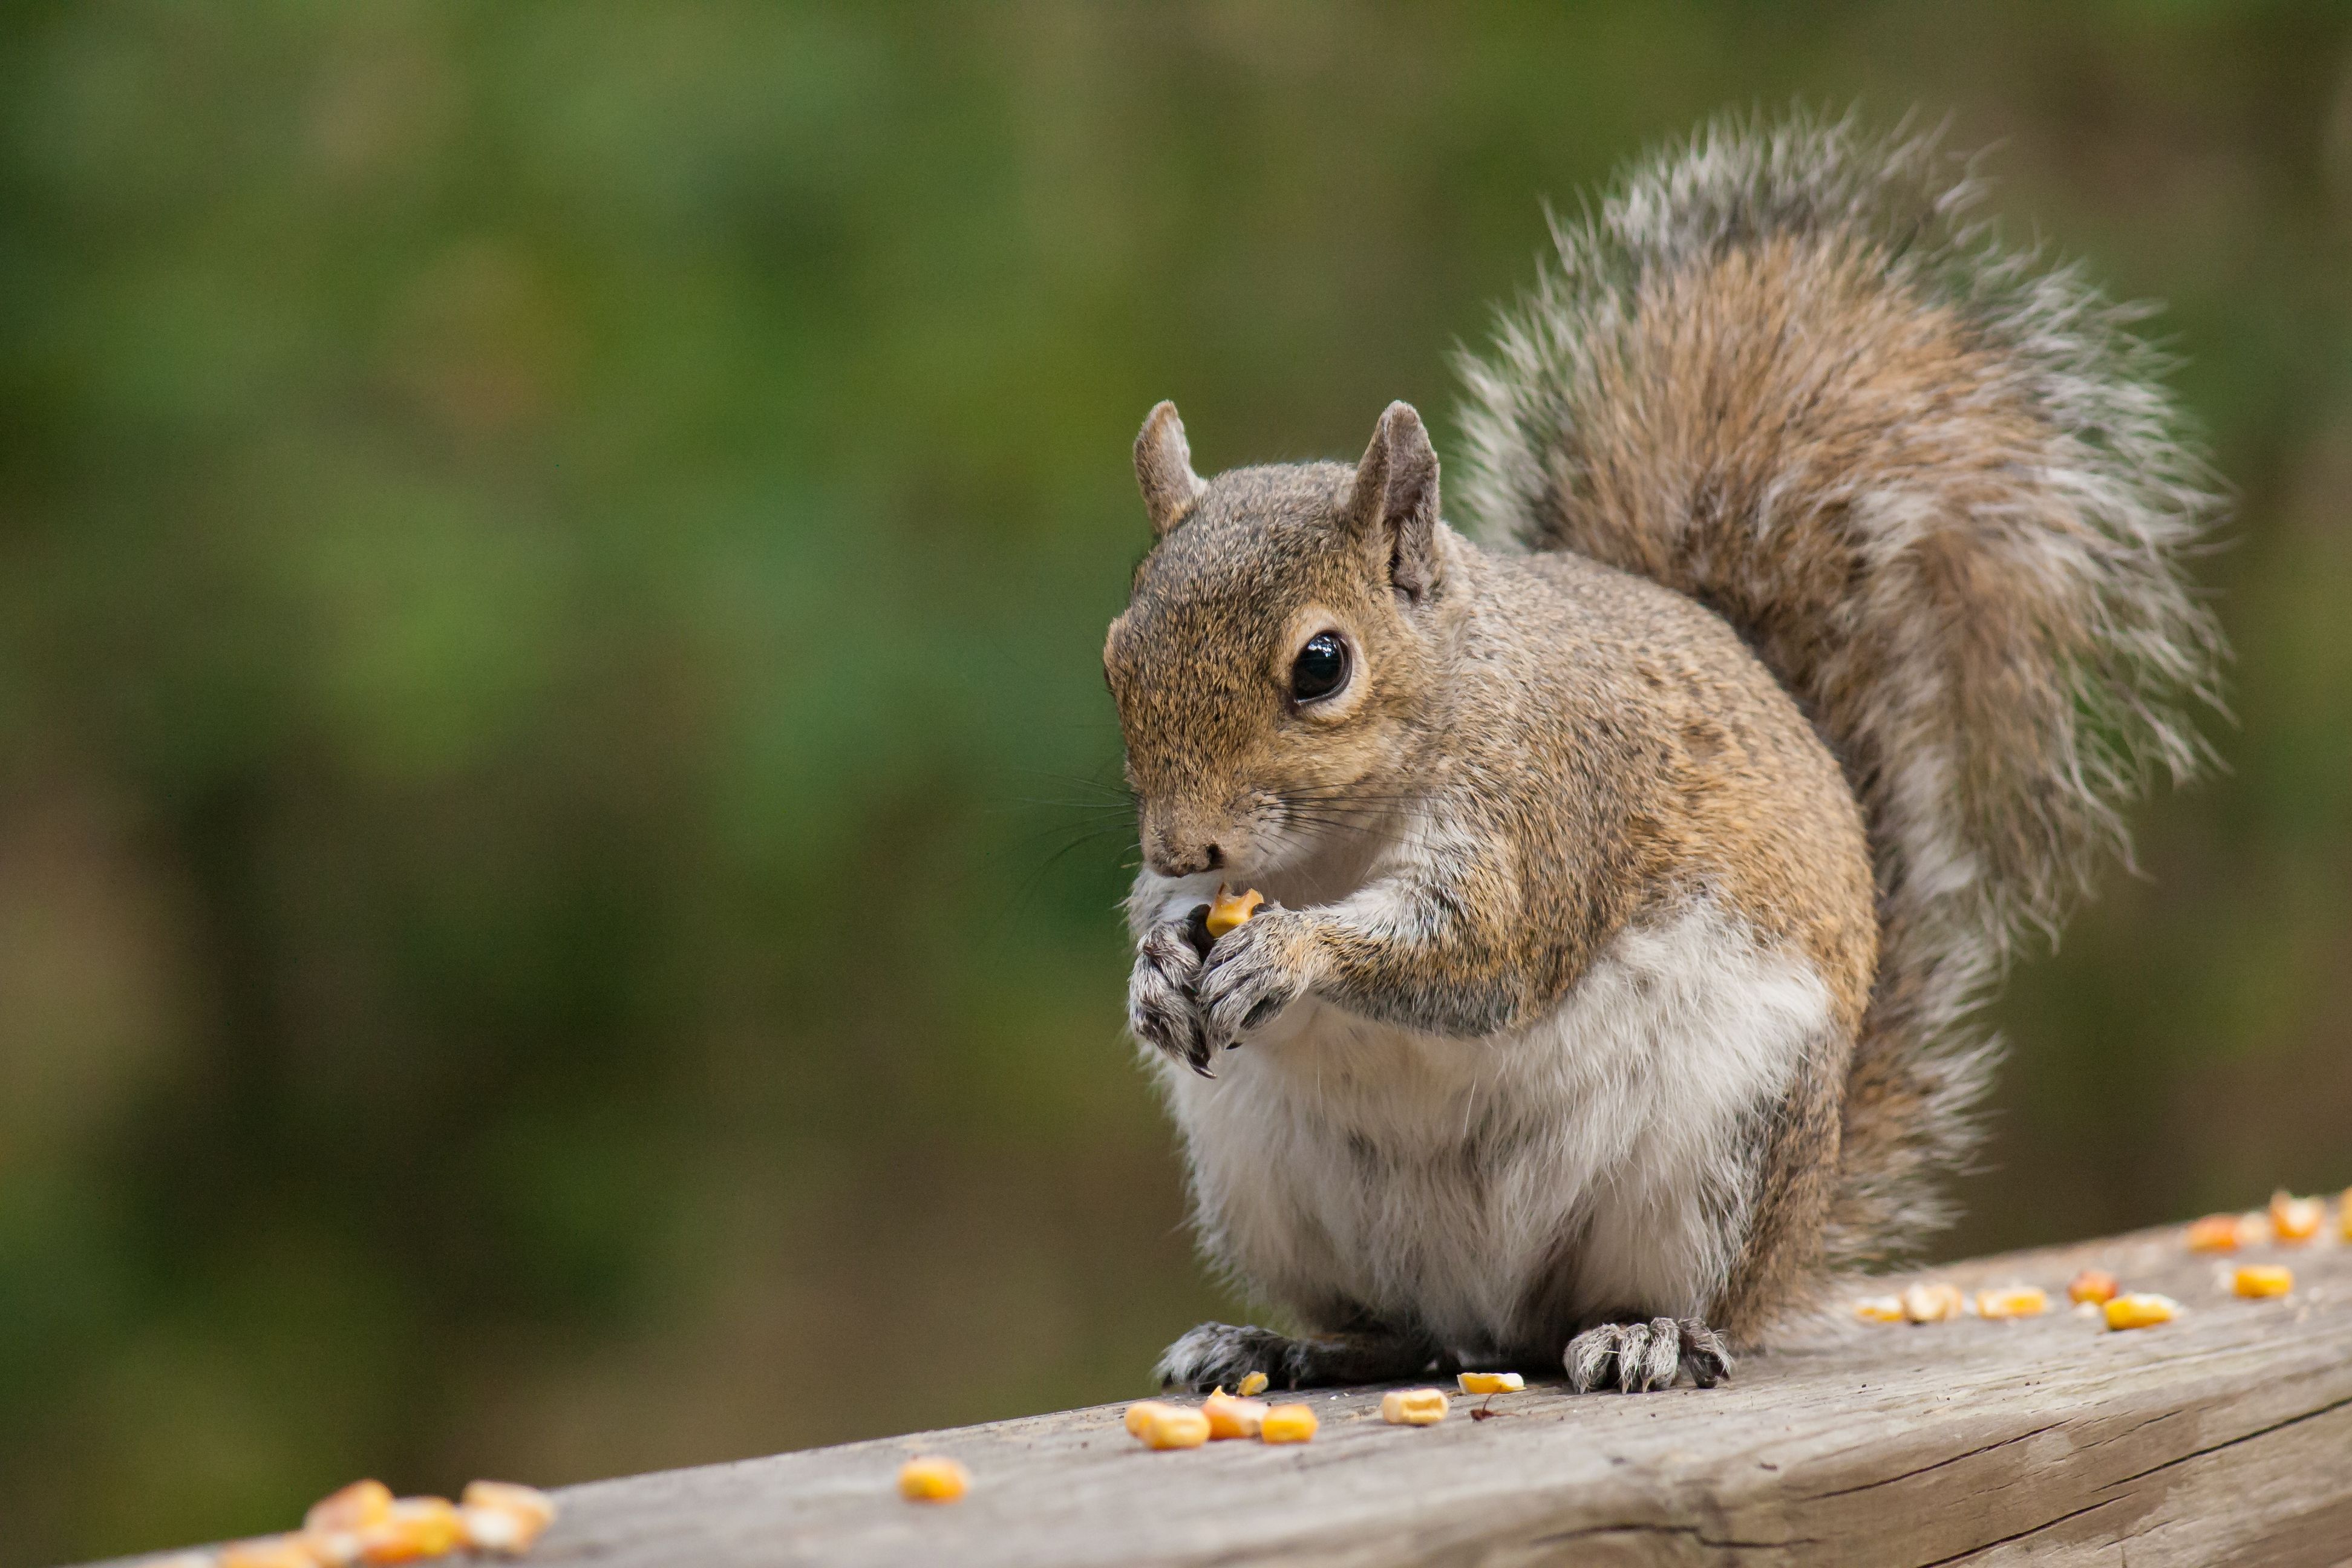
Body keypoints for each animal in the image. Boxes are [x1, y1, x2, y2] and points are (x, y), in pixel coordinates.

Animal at [1100, 120, 2220, 1401]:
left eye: (1322, 665)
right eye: (1116, 652)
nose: (1179, 841)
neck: (1340, 841)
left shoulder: (1547, 813)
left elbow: (1480, 956)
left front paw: (1291, 951)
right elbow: (1178, 923)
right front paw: (1154, 968)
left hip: (1721, 1153)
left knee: (1659, 1304)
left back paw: (1647, 1335)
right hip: (1269, 1183)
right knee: (1400, 1331)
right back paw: (1278, 1344)